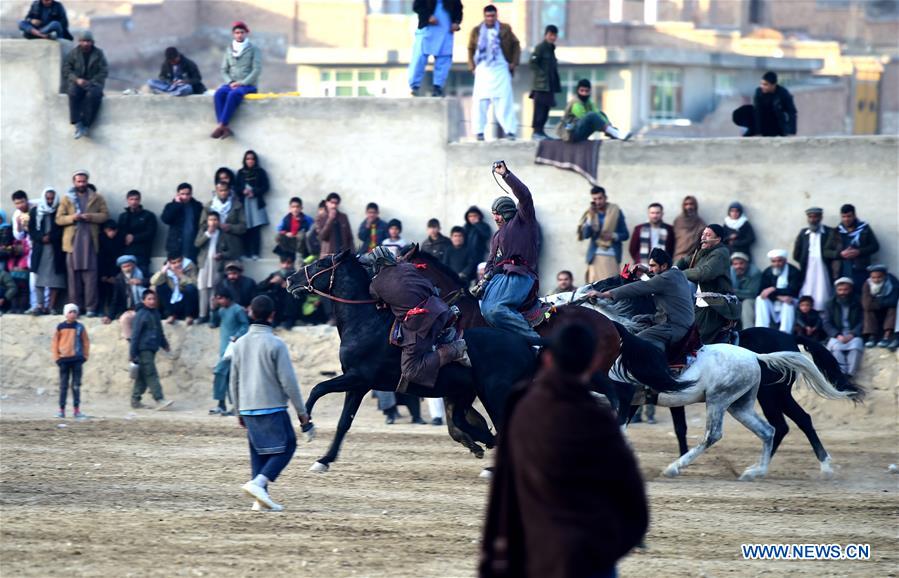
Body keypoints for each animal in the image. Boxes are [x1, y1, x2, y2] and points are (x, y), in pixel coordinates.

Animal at [284, 250, 536, 470]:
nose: (290, 279)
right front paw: (324, 459)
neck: (366, 322)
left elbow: (318, 388)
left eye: (321, 263)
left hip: (495, 393)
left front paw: (306, 424)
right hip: (467, 392)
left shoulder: (357, 377)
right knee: (466, 421)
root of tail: (525, 344)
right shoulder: (358, 385)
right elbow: (344, 421)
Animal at [544, 274, 868, 476]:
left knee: (777, 426)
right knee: (786, 425)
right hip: (751, 401)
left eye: (608, 281)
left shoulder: (630, 396)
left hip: (752, 398)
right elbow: (676, 428)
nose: (556, 297)